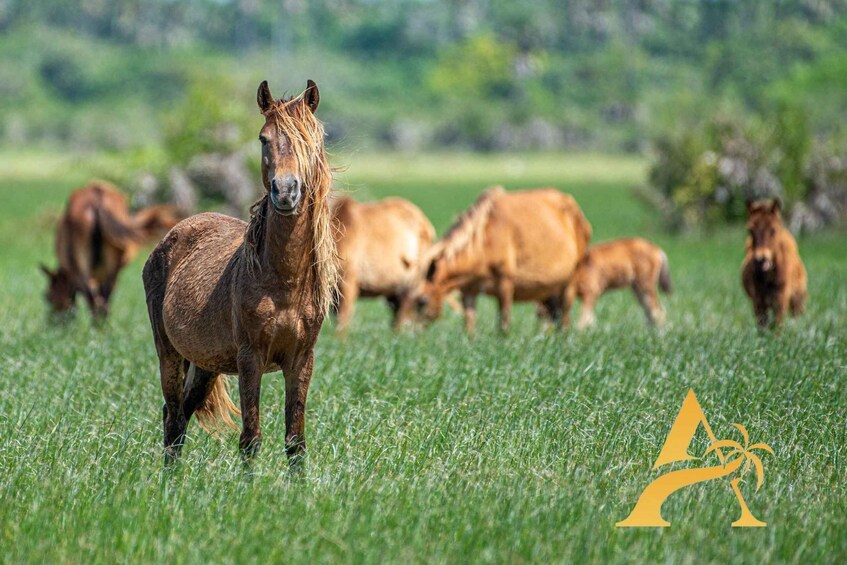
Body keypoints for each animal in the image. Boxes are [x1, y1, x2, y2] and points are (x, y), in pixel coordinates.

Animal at [40, 180, 182, 319]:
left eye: (47, 296)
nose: (55, 319)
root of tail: (97, 199)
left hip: (81, 267)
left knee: (93, 299)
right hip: (112, 266)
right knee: (104, 301)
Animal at [142, 80, 337, 465]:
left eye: (313, 140)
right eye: (263, 138)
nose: (285, 191)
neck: (284, 281)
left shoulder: (301, 361)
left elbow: (295, 441)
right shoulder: (251, 358)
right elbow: (250, 439)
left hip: (205, 364)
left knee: (180, 418)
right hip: (169, 354)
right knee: (172, 420)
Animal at [417, 186, 592, 333]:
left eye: (422, 301)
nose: (416, 334)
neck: (483, 244)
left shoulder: (505, 283)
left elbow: (504, 324)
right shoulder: (468, 290)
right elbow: (469, 326)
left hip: (570, 279)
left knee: (565, 316)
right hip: (549, 289)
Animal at [741, 199, 807, 329]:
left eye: (773, 229)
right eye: (750, 230)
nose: (761, 258)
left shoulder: (781, 301)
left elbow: (778, 327)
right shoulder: (758, 302)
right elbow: (762, 328)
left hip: (797, 300)